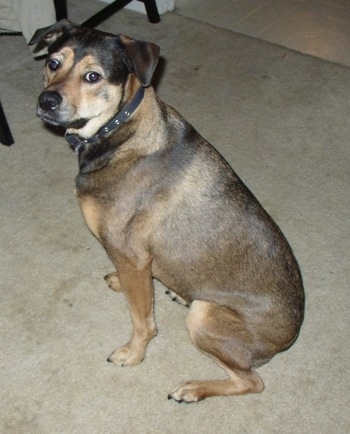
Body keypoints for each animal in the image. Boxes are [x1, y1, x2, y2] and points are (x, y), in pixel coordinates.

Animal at [29, 19, 304, 400]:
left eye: (93, 76)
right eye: (53, 63)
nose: (47, 100)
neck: (120, 132)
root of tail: (289, 336)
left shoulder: (132, 256)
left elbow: (142, 321)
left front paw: (133, 354)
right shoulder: (134, 263)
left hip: (204, 316)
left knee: (252, 382)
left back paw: (193, 388)